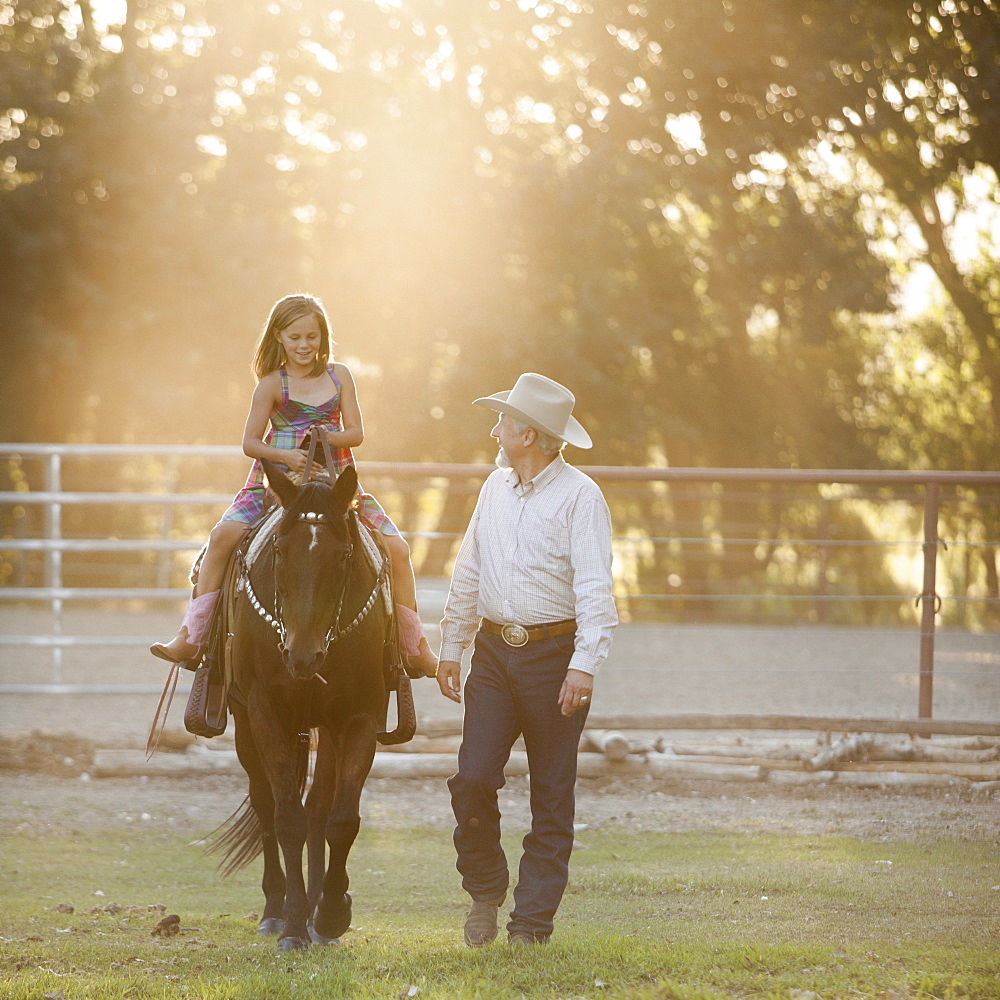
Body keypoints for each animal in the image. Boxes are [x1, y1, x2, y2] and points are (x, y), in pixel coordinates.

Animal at [213, 460, 392, 952]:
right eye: (279, 551)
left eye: (343, 556)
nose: (303, 655)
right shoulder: (265, 713)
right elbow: (287, 818)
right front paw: (293, 925)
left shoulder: (358, 718)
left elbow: (340, 819)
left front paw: (330, 912)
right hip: (244, 723)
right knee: (265, 804)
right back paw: (276, 910)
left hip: (326, 730)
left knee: (318, 808)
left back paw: (316, 914)